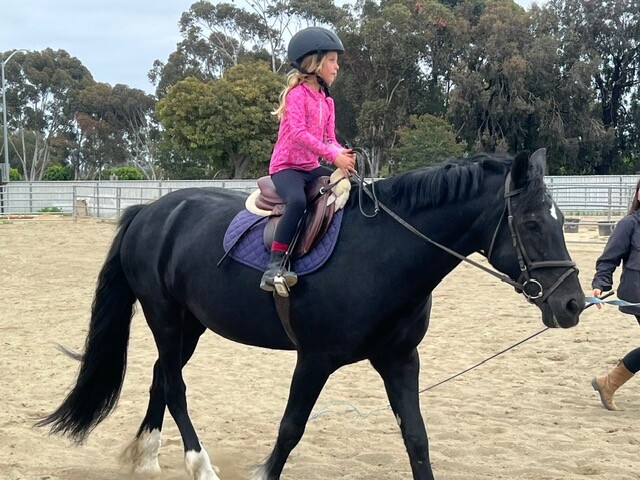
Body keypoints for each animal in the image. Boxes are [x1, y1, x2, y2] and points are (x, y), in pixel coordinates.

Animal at [38, 148, 585, 480]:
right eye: (532, 223)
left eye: (560, 221)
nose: (572, 304)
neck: (383, 251)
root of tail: (149, 213)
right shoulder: (315, 359)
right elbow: (290, 429)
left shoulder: (400, 360)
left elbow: (417, 437)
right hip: (166, 318)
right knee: (173, 384)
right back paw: (199, 463)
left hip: (188, 326)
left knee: (159, 377)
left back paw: (148, 458)